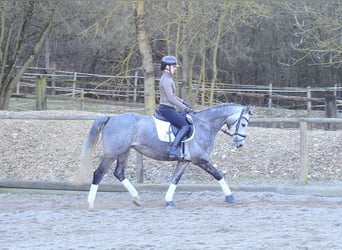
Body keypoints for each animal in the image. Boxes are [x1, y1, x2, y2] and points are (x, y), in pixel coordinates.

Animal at [82, 102, 254, 209]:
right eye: (244, 123)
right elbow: (218, 174)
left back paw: (137, 199)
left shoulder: (185, 161)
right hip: (112, 154)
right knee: (98, 173)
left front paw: (169, 200)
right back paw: (90, 204)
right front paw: (230, 197)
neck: (204, 125)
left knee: (119, 173)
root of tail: (111, 117)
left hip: (124, 152)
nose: (239, 144)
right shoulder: (200, 160)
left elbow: (175, 179)